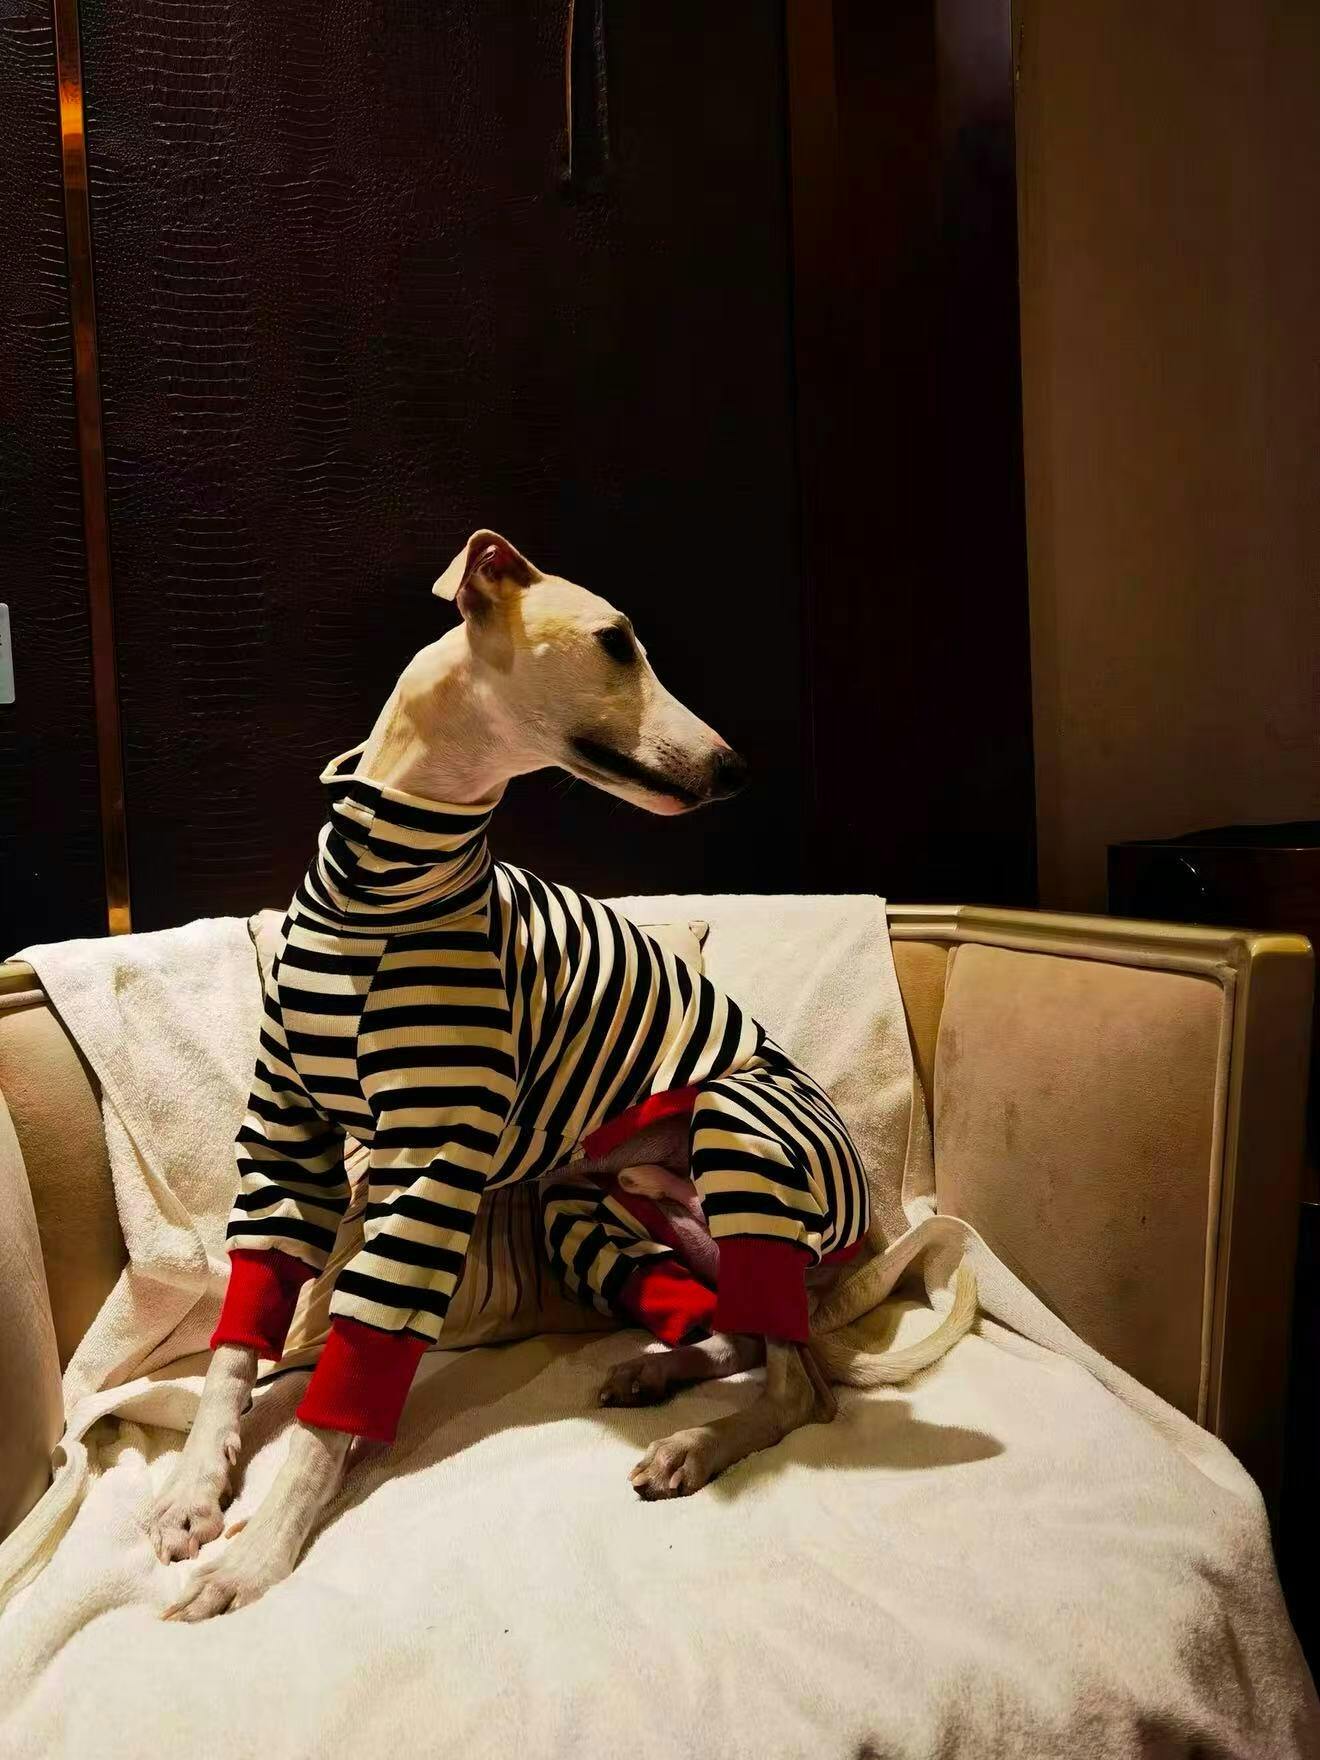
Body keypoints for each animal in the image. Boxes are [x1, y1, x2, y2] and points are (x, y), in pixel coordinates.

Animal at [149, 531, 973, 1621]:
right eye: (616, 640)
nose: (737, 769)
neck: (385, 878)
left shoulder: (430, 1163)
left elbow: (347, 1380)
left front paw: (262, 1553)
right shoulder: (290, 1135)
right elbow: (238, 1340)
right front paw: (196, 1490)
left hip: (740, 1129)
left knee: (803, 1387)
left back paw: (695, 1441)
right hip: (592, 1202)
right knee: (751, 1334)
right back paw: (665, 1372)